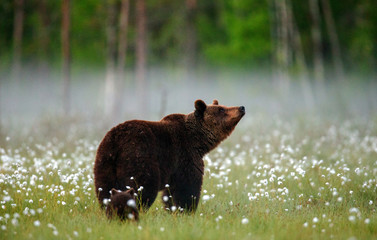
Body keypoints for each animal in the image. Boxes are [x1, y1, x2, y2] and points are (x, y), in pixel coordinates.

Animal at [92, 99, 242, 212]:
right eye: (221, 110)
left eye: (223, 106)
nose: (241, 107)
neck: (198, 141)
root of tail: (116, 141)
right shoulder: (184, 156)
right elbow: (187, 187)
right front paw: (186, 210)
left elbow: (169, 193)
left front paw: (172, 209)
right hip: (139, 157)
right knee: (143, 188)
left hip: (104, 161)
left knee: (105, 191)